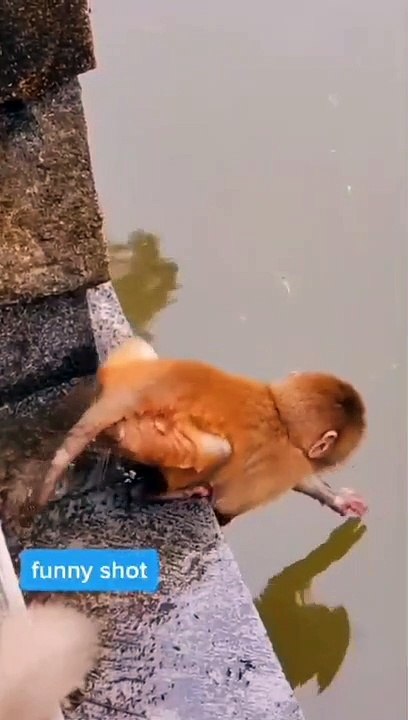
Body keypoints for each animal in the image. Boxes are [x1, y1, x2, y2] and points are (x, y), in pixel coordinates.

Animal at [37, 337, 368, 522]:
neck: (281, 414)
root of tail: (135, 391)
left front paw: (339, 501)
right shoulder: (282, 464)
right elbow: (227, 506)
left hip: (123, 367)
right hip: (151, 437)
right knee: (218, 450)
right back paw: (155, 492)